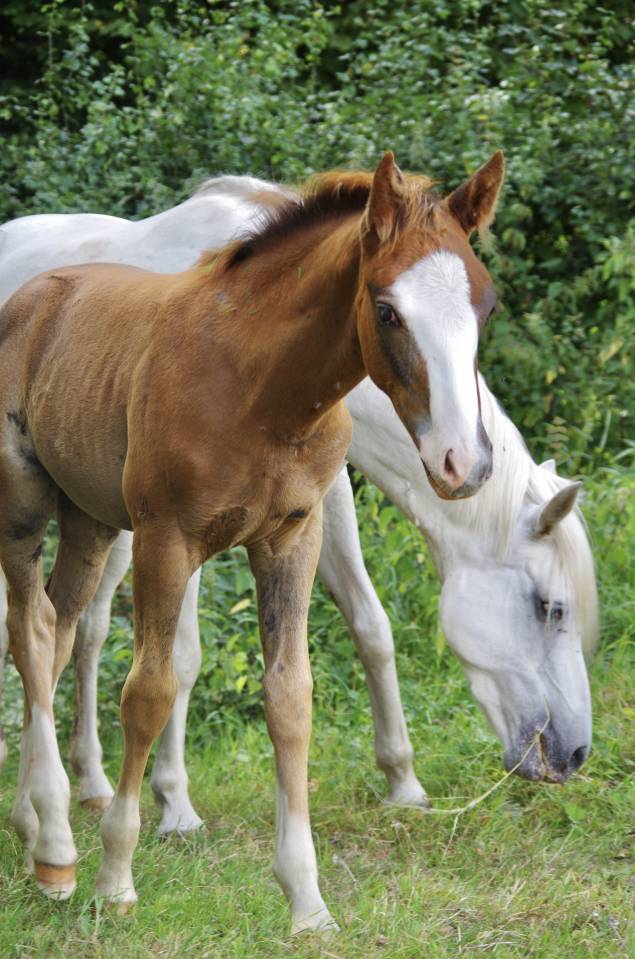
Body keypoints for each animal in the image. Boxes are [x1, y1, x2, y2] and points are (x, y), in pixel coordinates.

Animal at [0, 168, 596, 832]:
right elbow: (182, 656)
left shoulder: (319, 499)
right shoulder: (180, 526)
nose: (573, 754)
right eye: (551, 608)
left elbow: (370, 624)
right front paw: (175, 802)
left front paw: (402, 779)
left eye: (487, 310)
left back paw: (88, 782)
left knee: (84, 627)